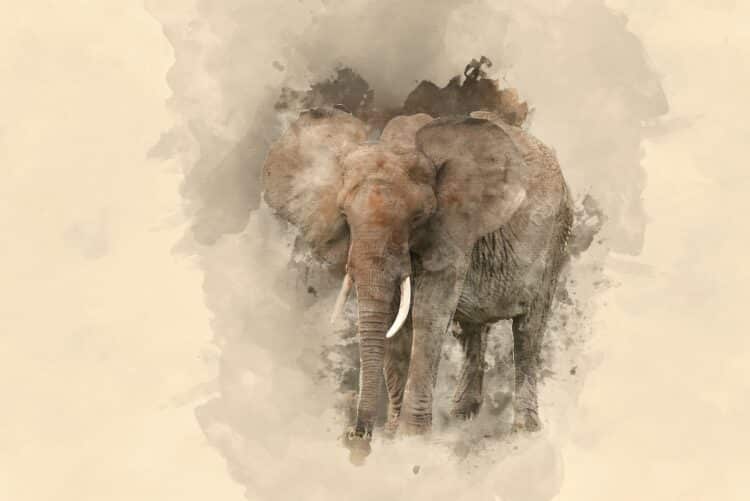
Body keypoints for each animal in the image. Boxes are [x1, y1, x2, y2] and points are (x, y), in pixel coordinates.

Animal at [262, 105, 573, 462]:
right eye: (344, 215)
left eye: (417, 218)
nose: (356, 437)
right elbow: (395, 320)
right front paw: (394, 434)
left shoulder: (455, 229)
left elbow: (429, 312)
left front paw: (413, 438)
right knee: (473, 330)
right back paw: (462, 418)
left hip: (555, 237)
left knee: (528, 331)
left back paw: (524, 431)